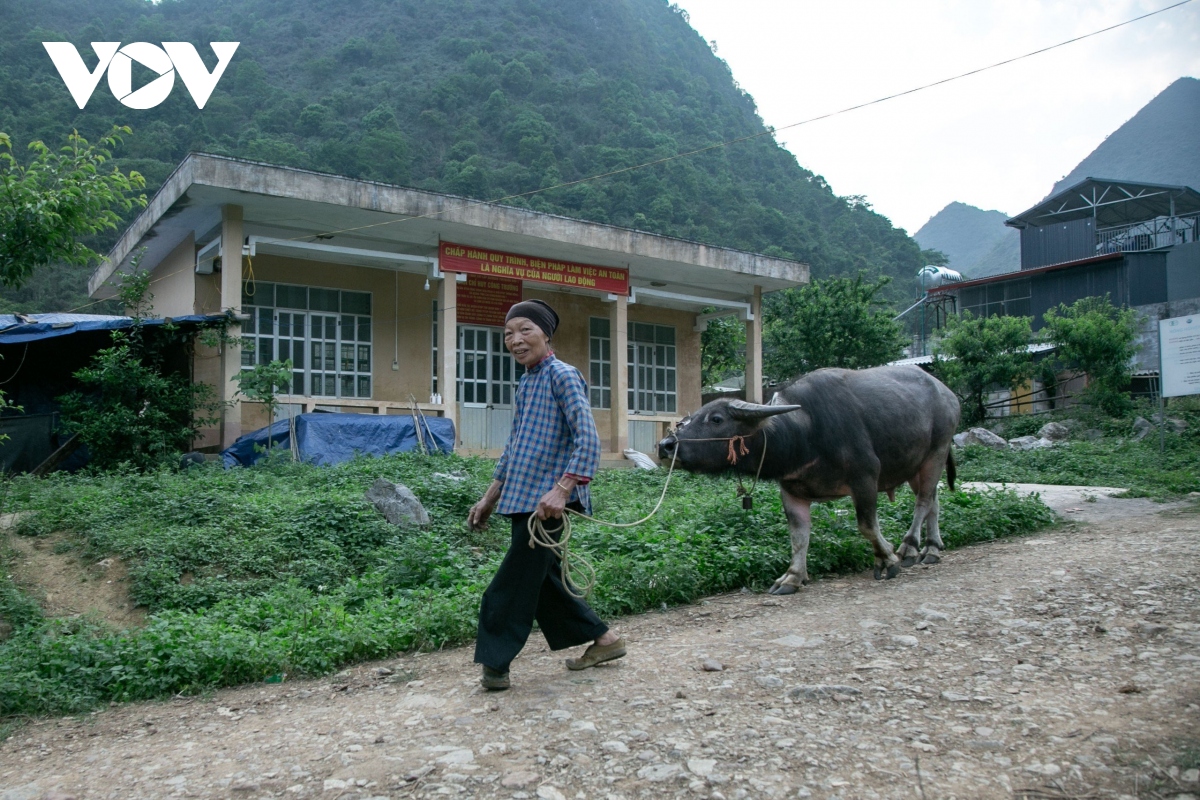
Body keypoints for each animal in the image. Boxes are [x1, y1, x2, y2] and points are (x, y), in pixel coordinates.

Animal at [662, 367, 960, 594]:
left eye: (716, 419)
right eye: (690, 418)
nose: (666, 445)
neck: (803, 435)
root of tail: (947, 394)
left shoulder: (865, 477)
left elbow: (867, 526)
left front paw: (887, 559)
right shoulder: (791, 491)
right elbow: (798, 535)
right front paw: (792, 577)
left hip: (937, 452)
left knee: (923, 502)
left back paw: (909, 547)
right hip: (915, 464)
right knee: (933, 501)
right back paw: (931, 549)